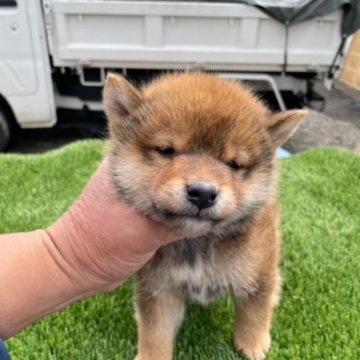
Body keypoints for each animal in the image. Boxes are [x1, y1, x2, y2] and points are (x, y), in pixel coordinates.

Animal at [102, 71, 306, 358]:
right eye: (167, 150)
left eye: (234, 164)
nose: (203, 193)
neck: (197, 243)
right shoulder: (159, 287)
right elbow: (155, 331)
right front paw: (152, 355)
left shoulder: (259, 272)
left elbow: (255, 309)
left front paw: (253, 343)